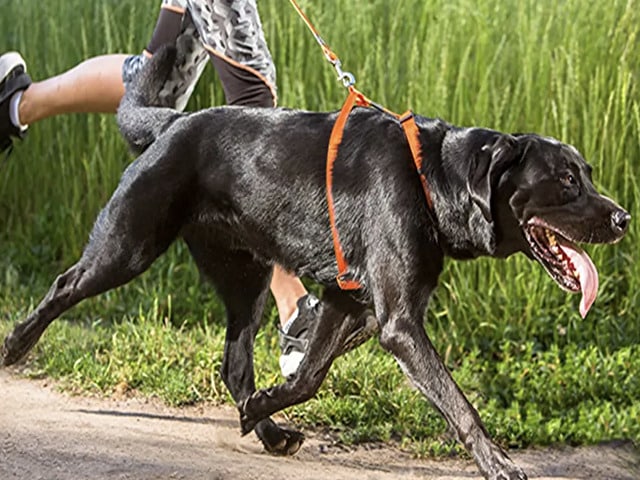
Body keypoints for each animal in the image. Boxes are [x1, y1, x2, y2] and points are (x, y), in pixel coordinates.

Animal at [1, 46, 632, 480]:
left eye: (589, 174)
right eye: (567, 180)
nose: (624, 217)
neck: (435, 179)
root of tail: (173, 123)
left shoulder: (349, 304)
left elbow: (307, 376)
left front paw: (264, 407)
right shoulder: (399, 322)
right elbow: (457, 403)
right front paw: (499, 464)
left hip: (247, 280)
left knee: (234, 363)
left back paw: (268, 430)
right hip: (128, 244)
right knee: (63, 285)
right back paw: (15, 346)